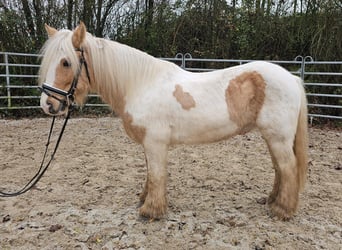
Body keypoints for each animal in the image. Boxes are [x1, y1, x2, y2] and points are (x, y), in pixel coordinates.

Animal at [38, 23, 308, 219]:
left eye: (66, 62)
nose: (48, 105)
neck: (140, 84)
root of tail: (293, 79)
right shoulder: (149, 144)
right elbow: (150, 173)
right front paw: (145, 200)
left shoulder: (155, 142)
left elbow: (157, 174)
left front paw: (151, 211)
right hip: (273, 137)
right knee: (280, 169)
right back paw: (272, 201)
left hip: (278, 137)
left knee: (288, 168)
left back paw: (282, 211)